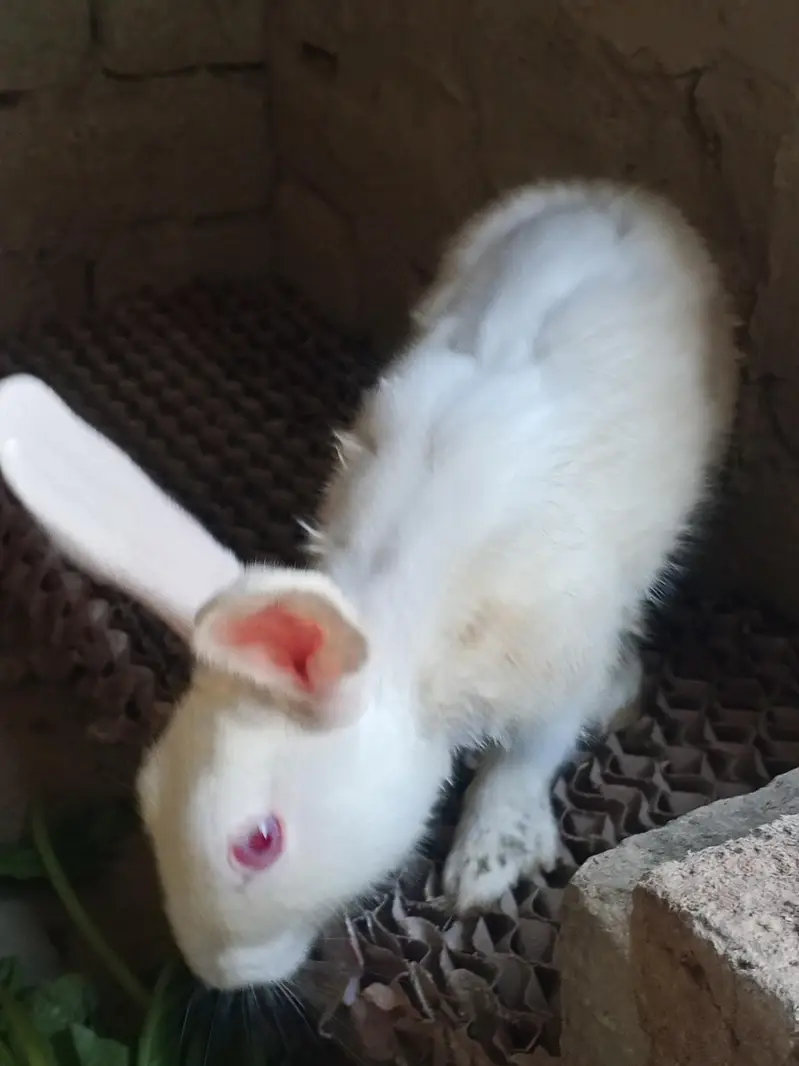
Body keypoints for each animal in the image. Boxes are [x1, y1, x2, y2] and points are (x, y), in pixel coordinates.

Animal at [0, 178, 739, 995]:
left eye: (257, 840)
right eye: (148, 789)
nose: (220, 976)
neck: (406, 638)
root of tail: (609, 192)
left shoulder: (557, 665)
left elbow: (525, 760)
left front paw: (486, 863)